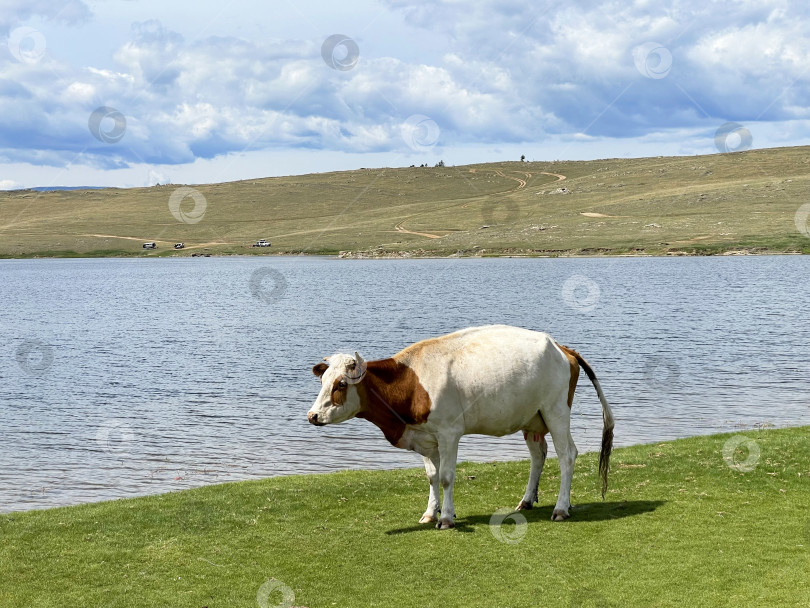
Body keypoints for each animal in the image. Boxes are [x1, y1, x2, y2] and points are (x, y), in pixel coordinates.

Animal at [306, 326, 608, 528]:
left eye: (340, 384)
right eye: (323, 381)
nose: (312, 415)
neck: (411, 383)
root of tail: (561, 347)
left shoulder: (449, 433)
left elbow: (447, 477)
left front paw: (447, 518)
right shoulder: (426, 437)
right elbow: (431, 476)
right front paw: (430, 513)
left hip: (556, 412)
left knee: (567, 455)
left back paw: (561, 508)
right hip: (532, 418)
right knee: (538, 455)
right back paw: (527, 500)